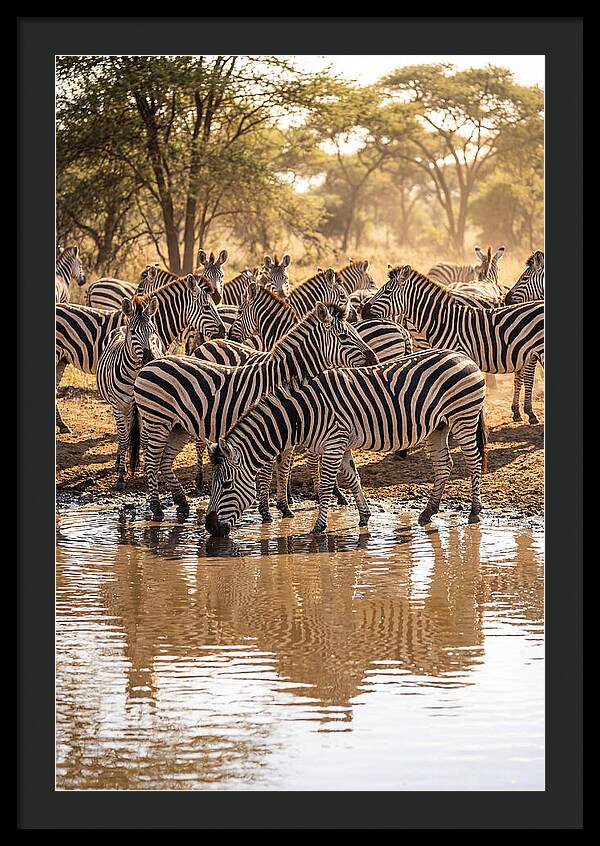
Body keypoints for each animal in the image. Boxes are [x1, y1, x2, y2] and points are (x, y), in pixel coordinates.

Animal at [96, 295, 164, 490]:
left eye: (153, 331)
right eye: (134, 333)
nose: (151, 359)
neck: (135, 375)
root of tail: (121, 327)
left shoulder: (147, 409)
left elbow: (145, 440)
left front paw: (149, 470)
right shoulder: (119, 406)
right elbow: (124, 438)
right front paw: (120, 476)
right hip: (119, 407)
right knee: (123, 434)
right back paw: (120, 461)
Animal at [129, 302, 378, 521]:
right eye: (344, 336)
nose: (374, 359)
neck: (282, 378)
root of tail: (148, 365)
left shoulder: (287, 430)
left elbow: (284, 468)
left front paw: (285, 508)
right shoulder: (269, 427)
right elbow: (267, 472)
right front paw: (266, 512)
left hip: (178, 427)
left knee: (164, 462)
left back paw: (181, 503)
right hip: (157, 421)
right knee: (151, 462)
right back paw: (157, 509)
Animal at [204, 348, 488, 536]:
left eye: (226, 484)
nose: (210, 527)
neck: (304, 413)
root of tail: (464, 357)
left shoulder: (334, 444)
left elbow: (326, 488)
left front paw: (318, 528)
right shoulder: (340, 445)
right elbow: (353, 479)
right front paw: (364, 516)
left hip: (463, 417)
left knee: (474, 462)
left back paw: (474, 511)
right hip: (437, 427)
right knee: (444, 466)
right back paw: (428, 512)